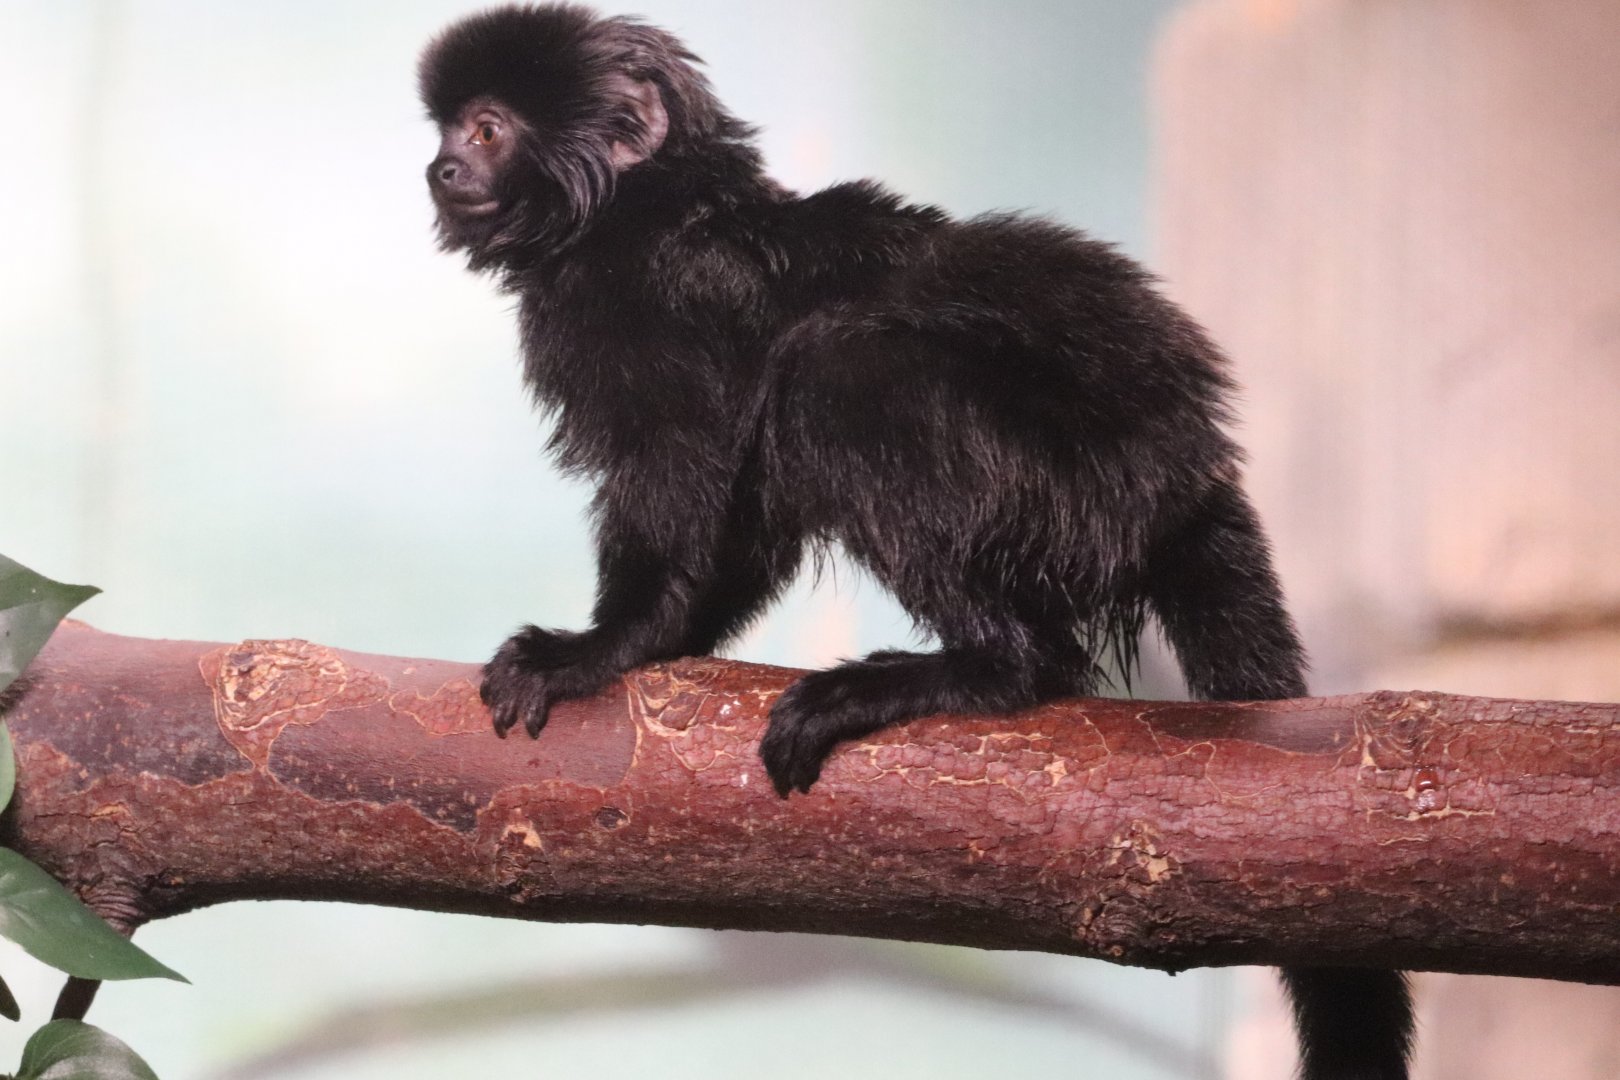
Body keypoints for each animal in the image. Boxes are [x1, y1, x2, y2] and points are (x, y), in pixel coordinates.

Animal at [418, 6, 1414, 1077]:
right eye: (449, 131)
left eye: (486, 128)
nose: (442, 165)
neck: (645, 213)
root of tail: (1184, 473)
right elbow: (741, 524)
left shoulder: (650, 306)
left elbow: (684, 479)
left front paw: (601, 649)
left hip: (1062, 489)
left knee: (842, 373)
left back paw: (978, 669)